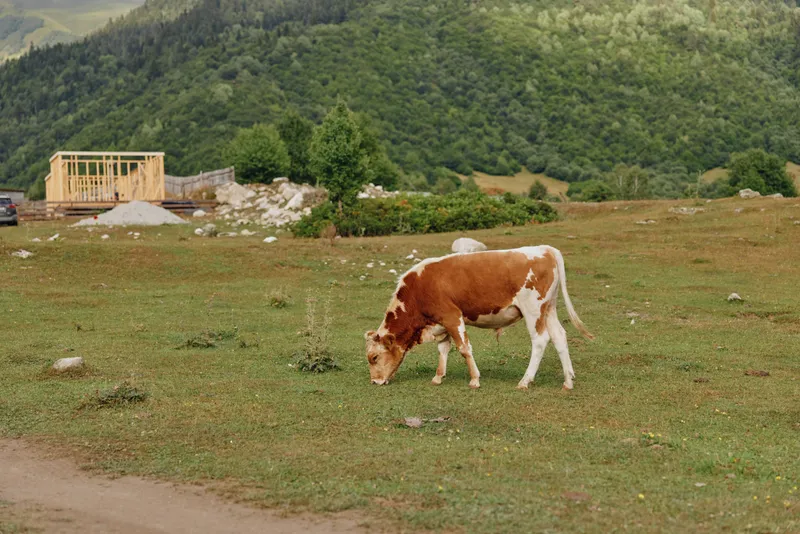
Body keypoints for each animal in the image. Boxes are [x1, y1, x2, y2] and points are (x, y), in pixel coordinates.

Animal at [364, 245, 593, 390]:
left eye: (374, 357)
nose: (374, 382)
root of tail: (546, 249)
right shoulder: (441, 321)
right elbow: (443, 349)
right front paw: (438, 377)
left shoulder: (452, 316)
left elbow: (464, 348)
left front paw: (474, 379)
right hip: (549, 308)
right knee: (559, 337)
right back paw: (568, 382)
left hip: (533, 309)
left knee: (540, 340)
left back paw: (525, 381)